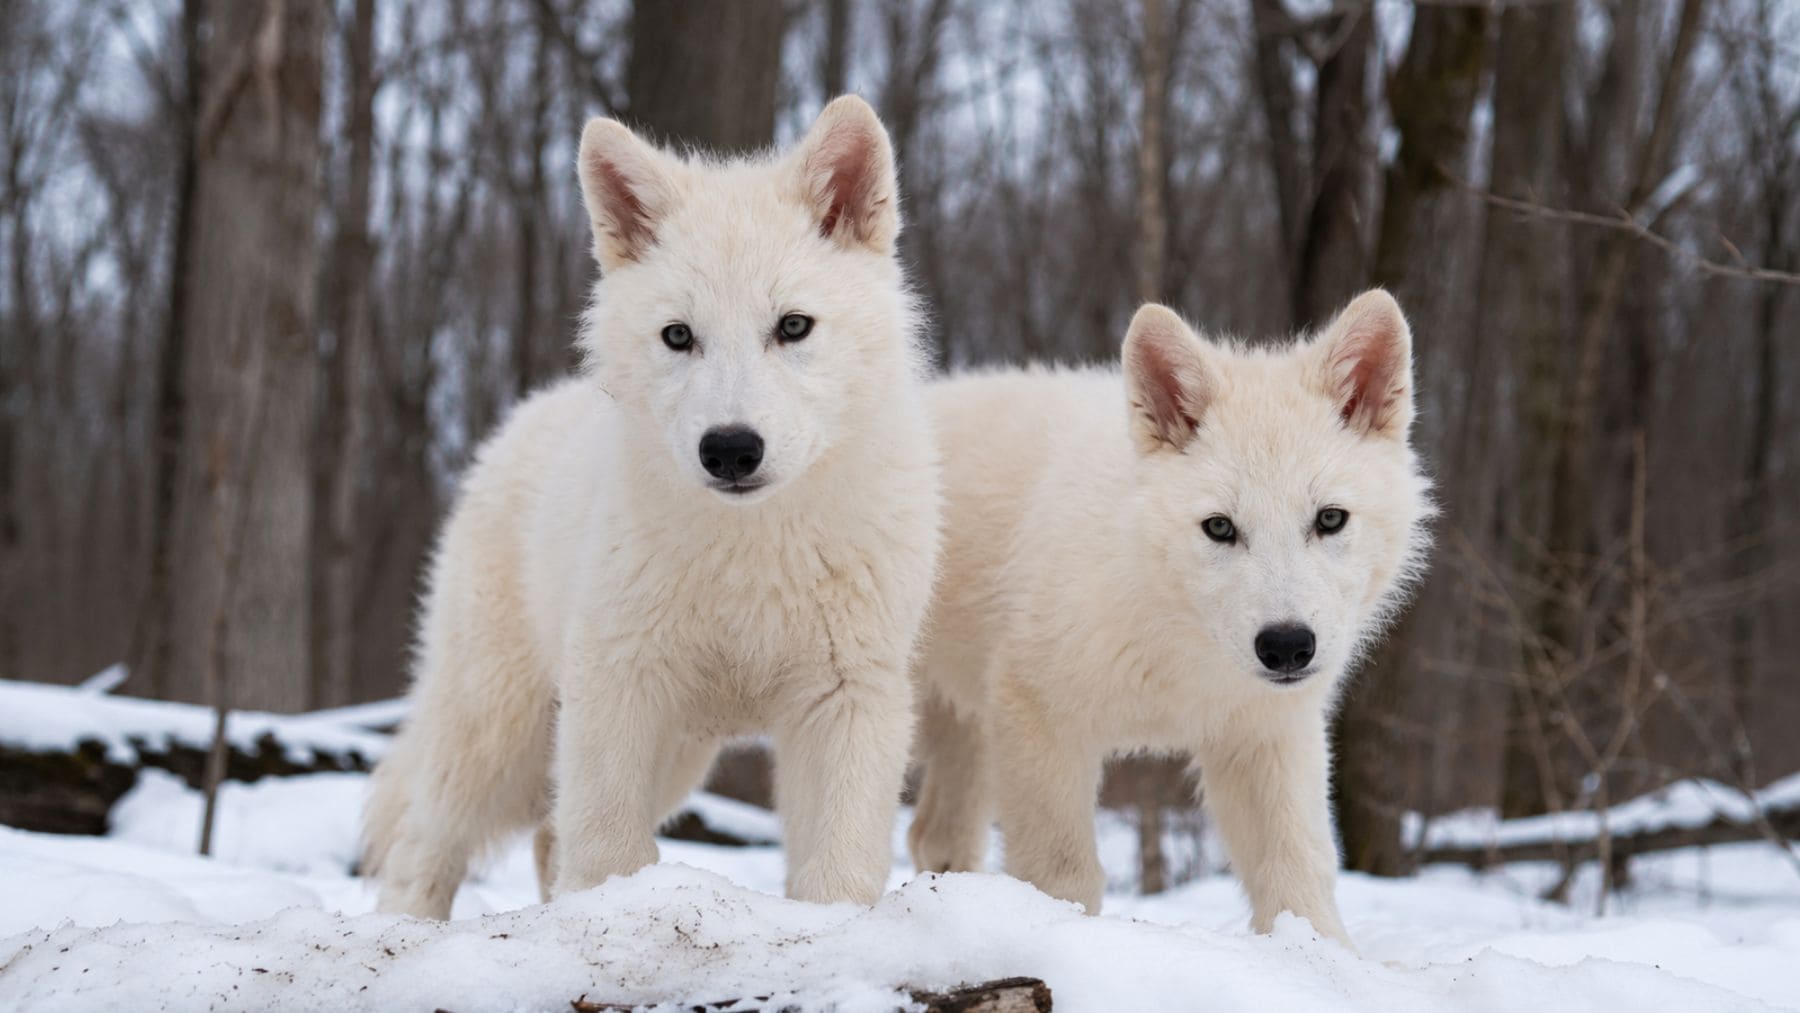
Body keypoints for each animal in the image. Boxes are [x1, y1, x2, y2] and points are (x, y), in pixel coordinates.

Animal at [362, 96, 941, 919]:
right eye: (679, 336)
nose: (729, 449)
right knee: (425, 845)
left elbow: (838, 870)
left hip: (674, 756)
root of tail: (520, 418)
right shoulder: (619, 686)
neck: (750, 553)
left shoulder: (847, 699)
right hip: (501, 730)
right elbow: (608, 849)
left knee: (548, 838)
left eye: (793, 326)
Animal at [906, 291, 1432, 946]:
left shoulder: (1268, 736)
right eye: (1220, 527)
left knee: (934, 838)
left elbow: (1299, 873)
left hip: (969, 733)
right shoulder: (1038, 720)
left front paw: (1322, 957)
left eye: (1330, 519)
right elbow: (1064, 874)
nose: (1287, 647)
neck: (1179, 643)